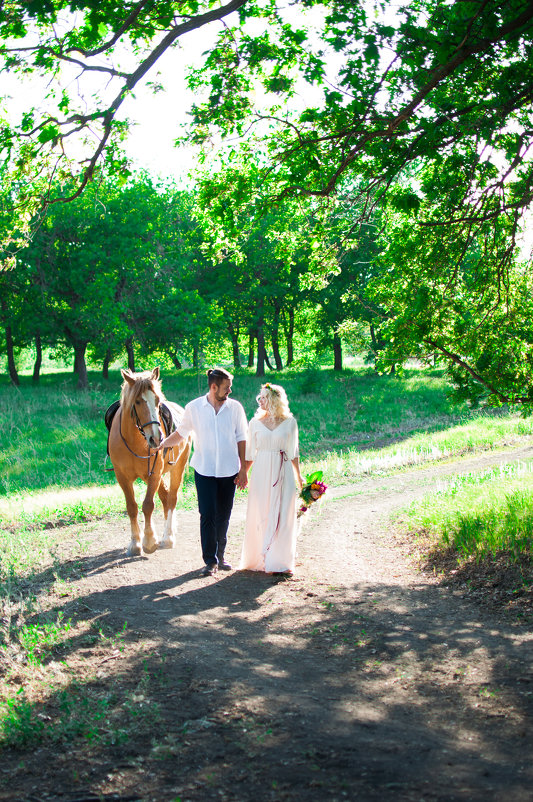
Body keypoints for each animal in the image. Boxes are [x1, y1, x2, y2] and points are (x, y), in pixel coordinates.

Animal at [107, 368, 190, 556]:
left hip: (177, 468)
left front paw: (150, 541)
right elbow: (132, 507)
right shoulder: (122, 477)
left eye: (158, 401)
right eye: (137, 401)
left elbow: (148, 505)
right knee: (165, 497)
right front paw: (135, 543)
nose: (157, 438)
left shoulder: (154, 473)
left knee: (171, 498)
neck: (134, 441)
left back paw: (168, 537)